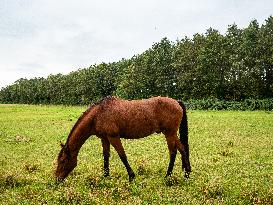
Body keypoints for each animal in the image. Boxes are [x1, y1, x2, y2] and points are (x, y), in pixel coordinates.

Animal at [54, 96, 191, 181]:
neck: (98, 115)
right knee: (182, 149)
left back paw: (168, 175)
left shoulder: (113, 137)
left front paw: (131, 176)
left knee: (173, 152)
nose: (57, 179)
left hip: (169, 133)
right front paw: (105, 175)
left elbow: (122, 156)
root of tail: (176, 102)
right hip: (171, 133)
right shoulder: (104, 138)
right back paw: (187, 173)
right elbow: (106, 156)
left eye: (63, 161)